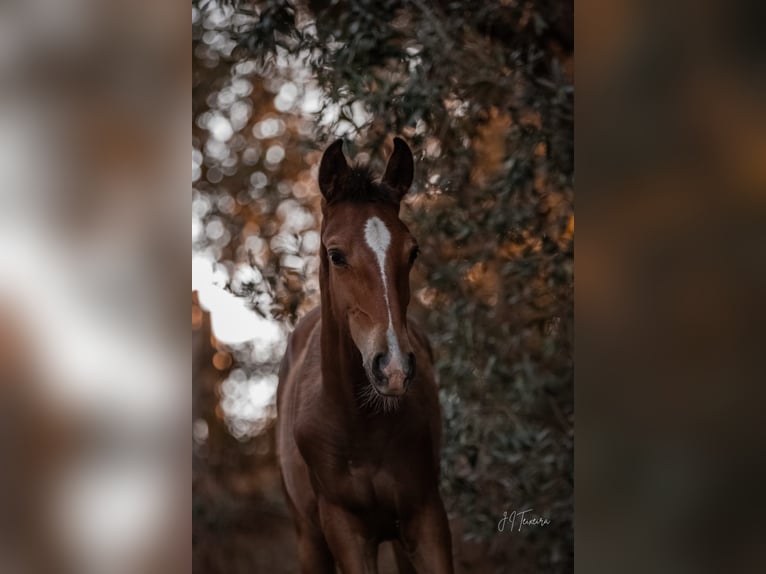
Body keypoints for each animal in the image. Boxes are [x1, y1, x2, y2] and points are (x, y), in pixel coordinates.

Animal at [278, 137, 452, 572]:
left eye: (413, 252)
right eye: (336, 254)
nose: (393, 367)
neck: (362, 424)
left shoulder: (426, 514)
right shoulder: (346, 530)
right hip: (309, 538)